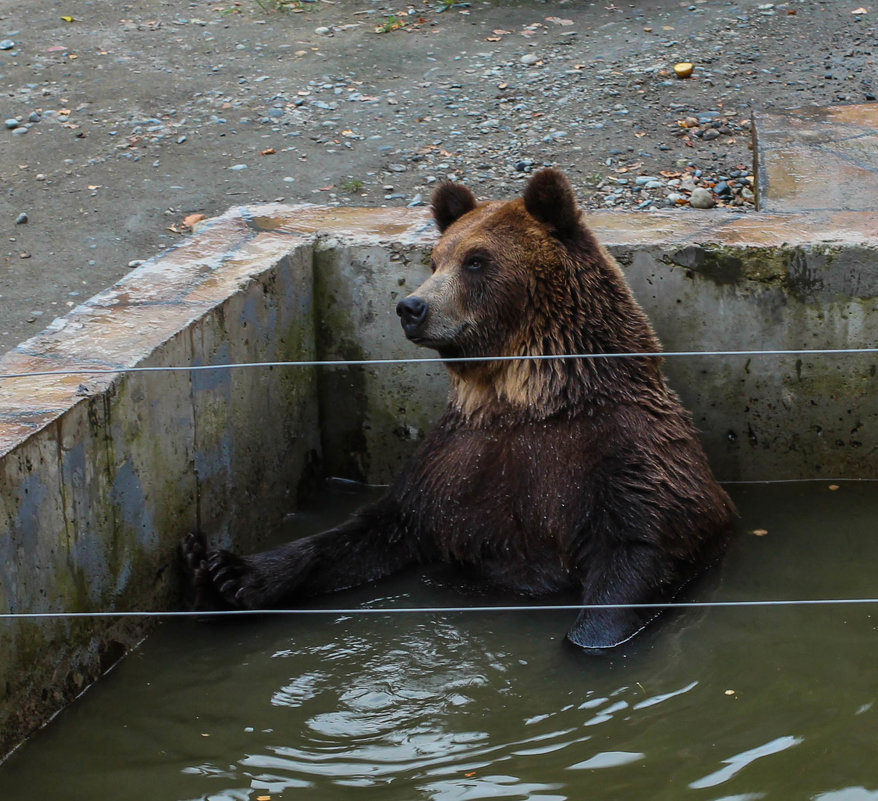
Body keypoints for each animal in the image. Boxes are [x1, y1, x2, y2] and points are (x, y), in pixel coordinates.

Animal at [184, 170, 736, 648]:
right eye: (435, 260)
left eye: (476, 260)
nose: (411, 308)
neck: (521, 396)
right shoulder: (454, 463)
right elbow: (370, 530)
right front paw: (225, 572)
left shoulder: (620, 456)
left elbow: (637, 554)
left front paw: (585, 641)